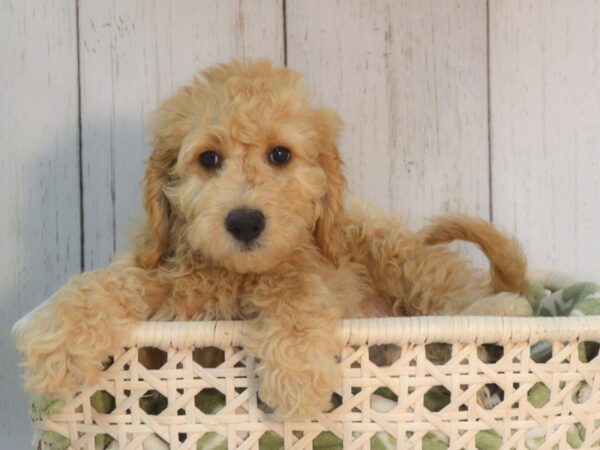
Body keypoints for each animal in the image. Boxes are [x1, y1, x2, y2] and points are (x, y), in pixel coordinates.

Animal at [12, 59, 528, 418]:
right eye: (208, 159)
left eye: (280, 155)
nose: (244, 222)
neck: (233, 275)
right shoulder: (160, 281)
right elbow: (105, 284)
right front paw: (56, 350)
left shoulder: (312, 266)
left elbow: (295, 288)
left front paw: (297, 379)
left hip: (390, 249)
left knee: (454, 292)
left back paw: (501, 310)